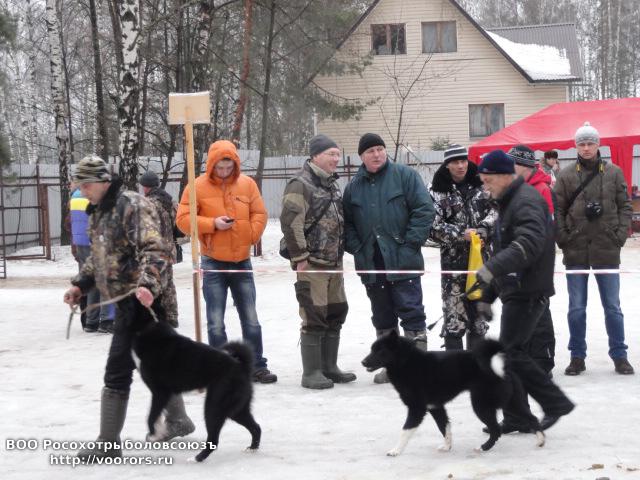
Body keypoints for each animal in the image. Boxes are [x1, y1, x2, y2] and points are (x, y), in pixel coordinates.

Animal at [129, 301, 261, 462]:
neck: (150, 326)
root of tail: (242, 367)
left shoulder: (160, 392)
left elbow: (151, 416)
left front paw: (154, 433)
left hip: (214, 407)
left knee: (214, 440)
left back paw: (197, 458)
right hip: (237, 409)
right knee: (256, 427)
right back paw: (253, 448)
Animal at [361, 330, 544, 455]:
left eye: (380, 351)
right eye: (371, 349)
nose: (363, 362)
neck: (407, 362)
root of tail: (501, 365)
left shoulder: (417, 408)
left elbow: (405, 430)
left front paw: (395, 451)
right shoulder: (436, 407)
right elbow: (445, 427)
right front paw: (447, 446)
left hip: (481, 405)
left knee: (495, 429)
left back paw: (483, 447)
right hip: (511, 402)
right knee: (532, 418)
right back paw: (540, 441)